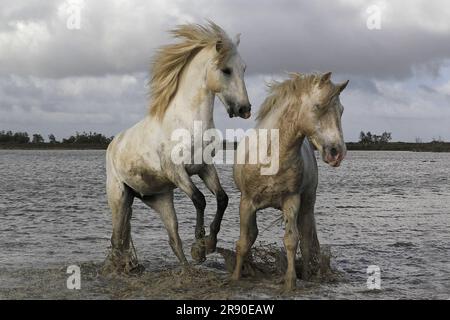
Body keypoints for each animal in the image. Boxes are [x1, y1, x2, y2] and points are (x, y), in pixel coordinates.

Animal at [106, 22, 253, 272]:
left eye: (244, 68)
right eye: (226, 70)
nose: (245, 109)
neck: (188, 123)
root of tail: (113, 144)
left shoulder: (205, 167)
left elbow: (222, 198)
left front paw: (208, 245)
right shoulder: (177, 171)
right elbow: (200, 199)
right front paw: (200, 244)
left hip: (160, 199)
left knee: (172, 238)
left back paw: (185, 268)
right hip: (119, 197)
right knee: (117, 239)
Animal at [232, 72, 348, 290]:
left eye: (342, 110)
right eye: (318, 106)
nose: (337, 152)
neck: (272, 155)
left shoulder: (291, 201)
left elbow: (291, 240)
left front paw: (290, 281)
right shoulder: (246, 202)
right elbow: (243, 242)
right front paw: (235, 276)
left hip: (307, 204)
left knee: (306, 240)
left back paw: (307, 276)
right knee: (252, 235)